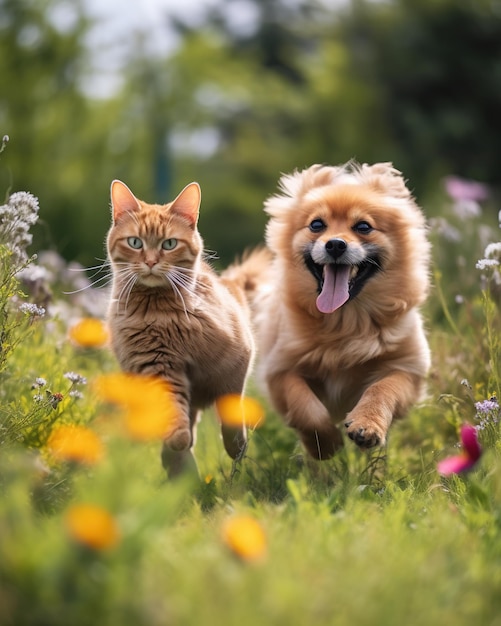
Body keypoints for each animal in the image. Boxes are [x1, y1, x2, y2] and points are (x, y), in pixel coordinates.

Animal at [106, 180, 254, 472]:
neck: (160, 312)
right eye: (135, 242)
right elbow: (173, 413)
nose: (151, 262)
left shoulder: (236, 364)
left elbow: (230, 412)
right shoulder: (158, 364)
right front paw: (177, 441)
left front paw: (236, 447)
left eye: (169, 244)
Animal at [227, 161, 430, 458]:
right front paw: (324, 444)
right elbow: (304, 406)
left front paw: (367, 425)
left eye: (363, 226)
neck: (345, 322)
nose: (335, 243)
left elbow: (383, 389)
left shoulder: (407, 367)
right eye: (316, 224)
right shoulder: (281, 369)